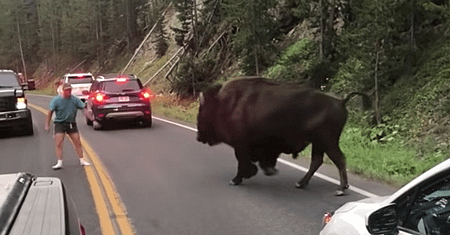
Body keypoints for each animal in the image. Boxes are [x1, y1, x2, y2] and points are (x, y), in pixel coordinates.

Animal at [196, 76, 370, 195]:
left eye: (201, 111)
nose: (198, 137)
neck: (225, 102)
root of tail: (341, 101)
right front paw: (266, 171)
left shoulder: (241, 145)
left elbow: (242, 163)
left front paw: (236, 180)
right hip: (318, 143)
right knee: (318, 160)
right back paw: (301, 184)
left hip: (327, 141)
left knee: (338, 159)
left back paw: (341, 189)